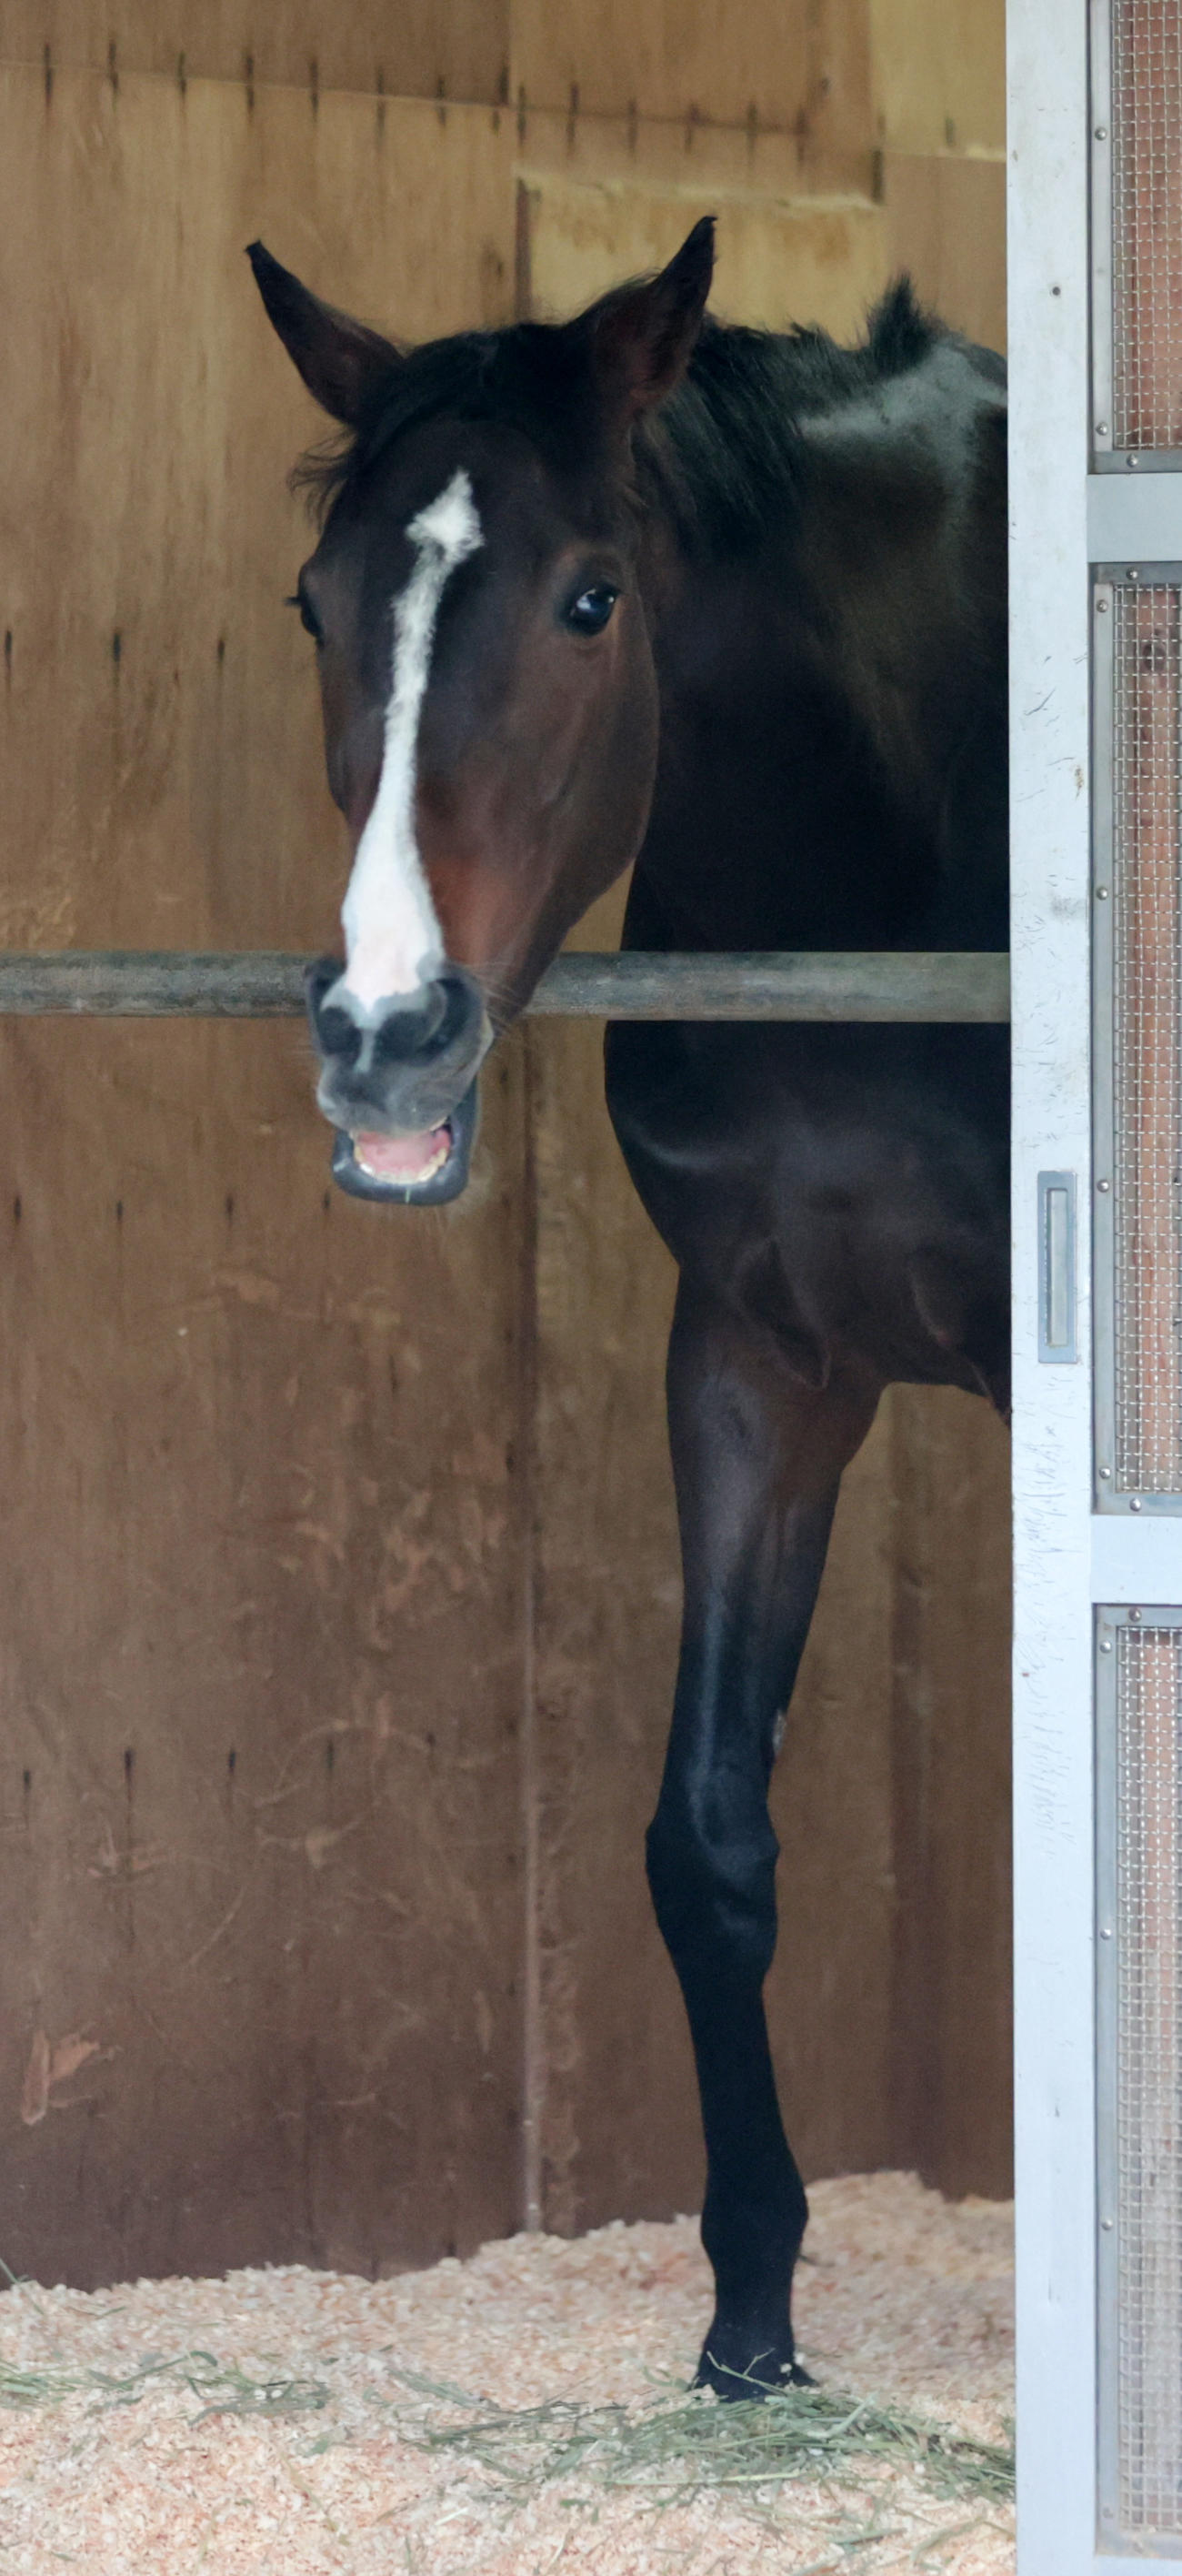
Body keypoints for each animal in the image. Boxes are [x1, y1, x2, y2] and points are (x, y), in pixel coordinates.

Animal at [248, 219, 1009, 2395]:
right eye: (316, 601)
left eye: (593, 597)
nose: (384, 1039)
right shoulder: (759, 1357)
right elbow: (706, 1842)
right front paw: (752, 2309)